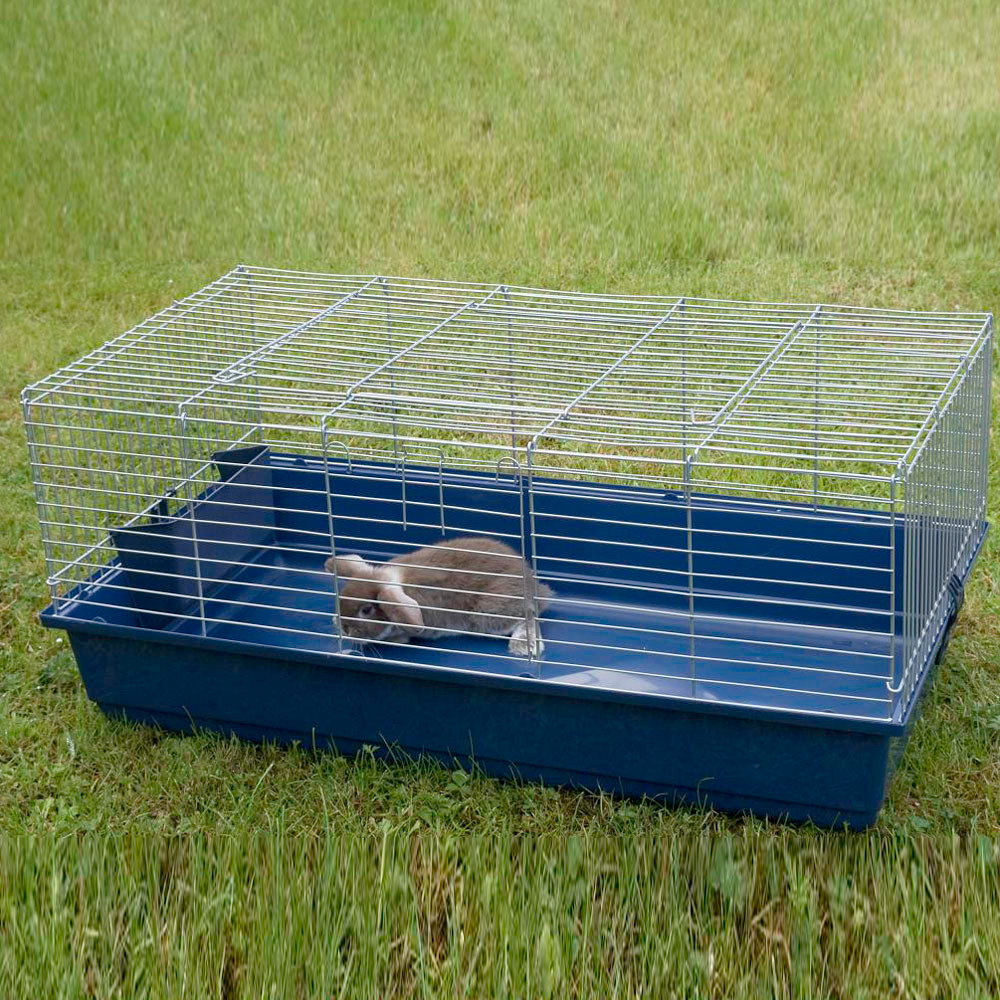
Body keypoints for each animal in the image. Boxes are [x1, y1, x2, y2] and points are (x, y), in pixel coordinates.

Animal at [325, 536, 553, 658]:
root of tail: (533, 585)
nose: (345, 629)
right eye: (342, 597)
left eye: (366, 610)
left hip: (489, 613)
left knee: (528, 616)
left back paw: (524, 646)